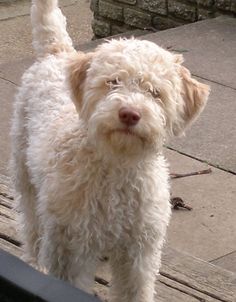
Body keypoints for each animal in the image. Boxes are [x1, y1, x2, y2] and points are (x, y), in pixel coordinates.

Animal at [10, 1, 210, 300]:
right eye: (113, 81)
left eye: (155, 92)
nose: (129, 114)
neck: (117, 166)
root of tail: (58, 52)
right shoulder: (69, 247)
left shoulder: (139, 252)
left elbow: (133, 290)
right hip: (26, 174)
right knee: (32, 224)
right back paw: (34, 260)